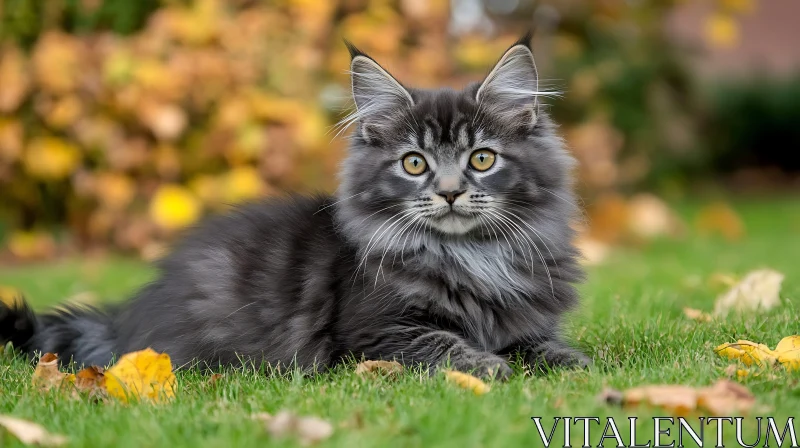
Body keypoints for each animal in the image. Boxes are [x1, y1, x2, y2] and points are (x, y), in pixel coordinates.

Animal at [0, 33, 592, 380]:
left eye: (482, 158)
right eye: (414, 163)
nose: (448, 191)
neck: (470, 257)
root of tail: (125, 319)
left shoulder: (527, 316)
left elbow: (544, 346)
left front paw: (576, 364)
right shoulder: (377, 333)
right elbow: (444, 344)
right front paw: (489, 366)